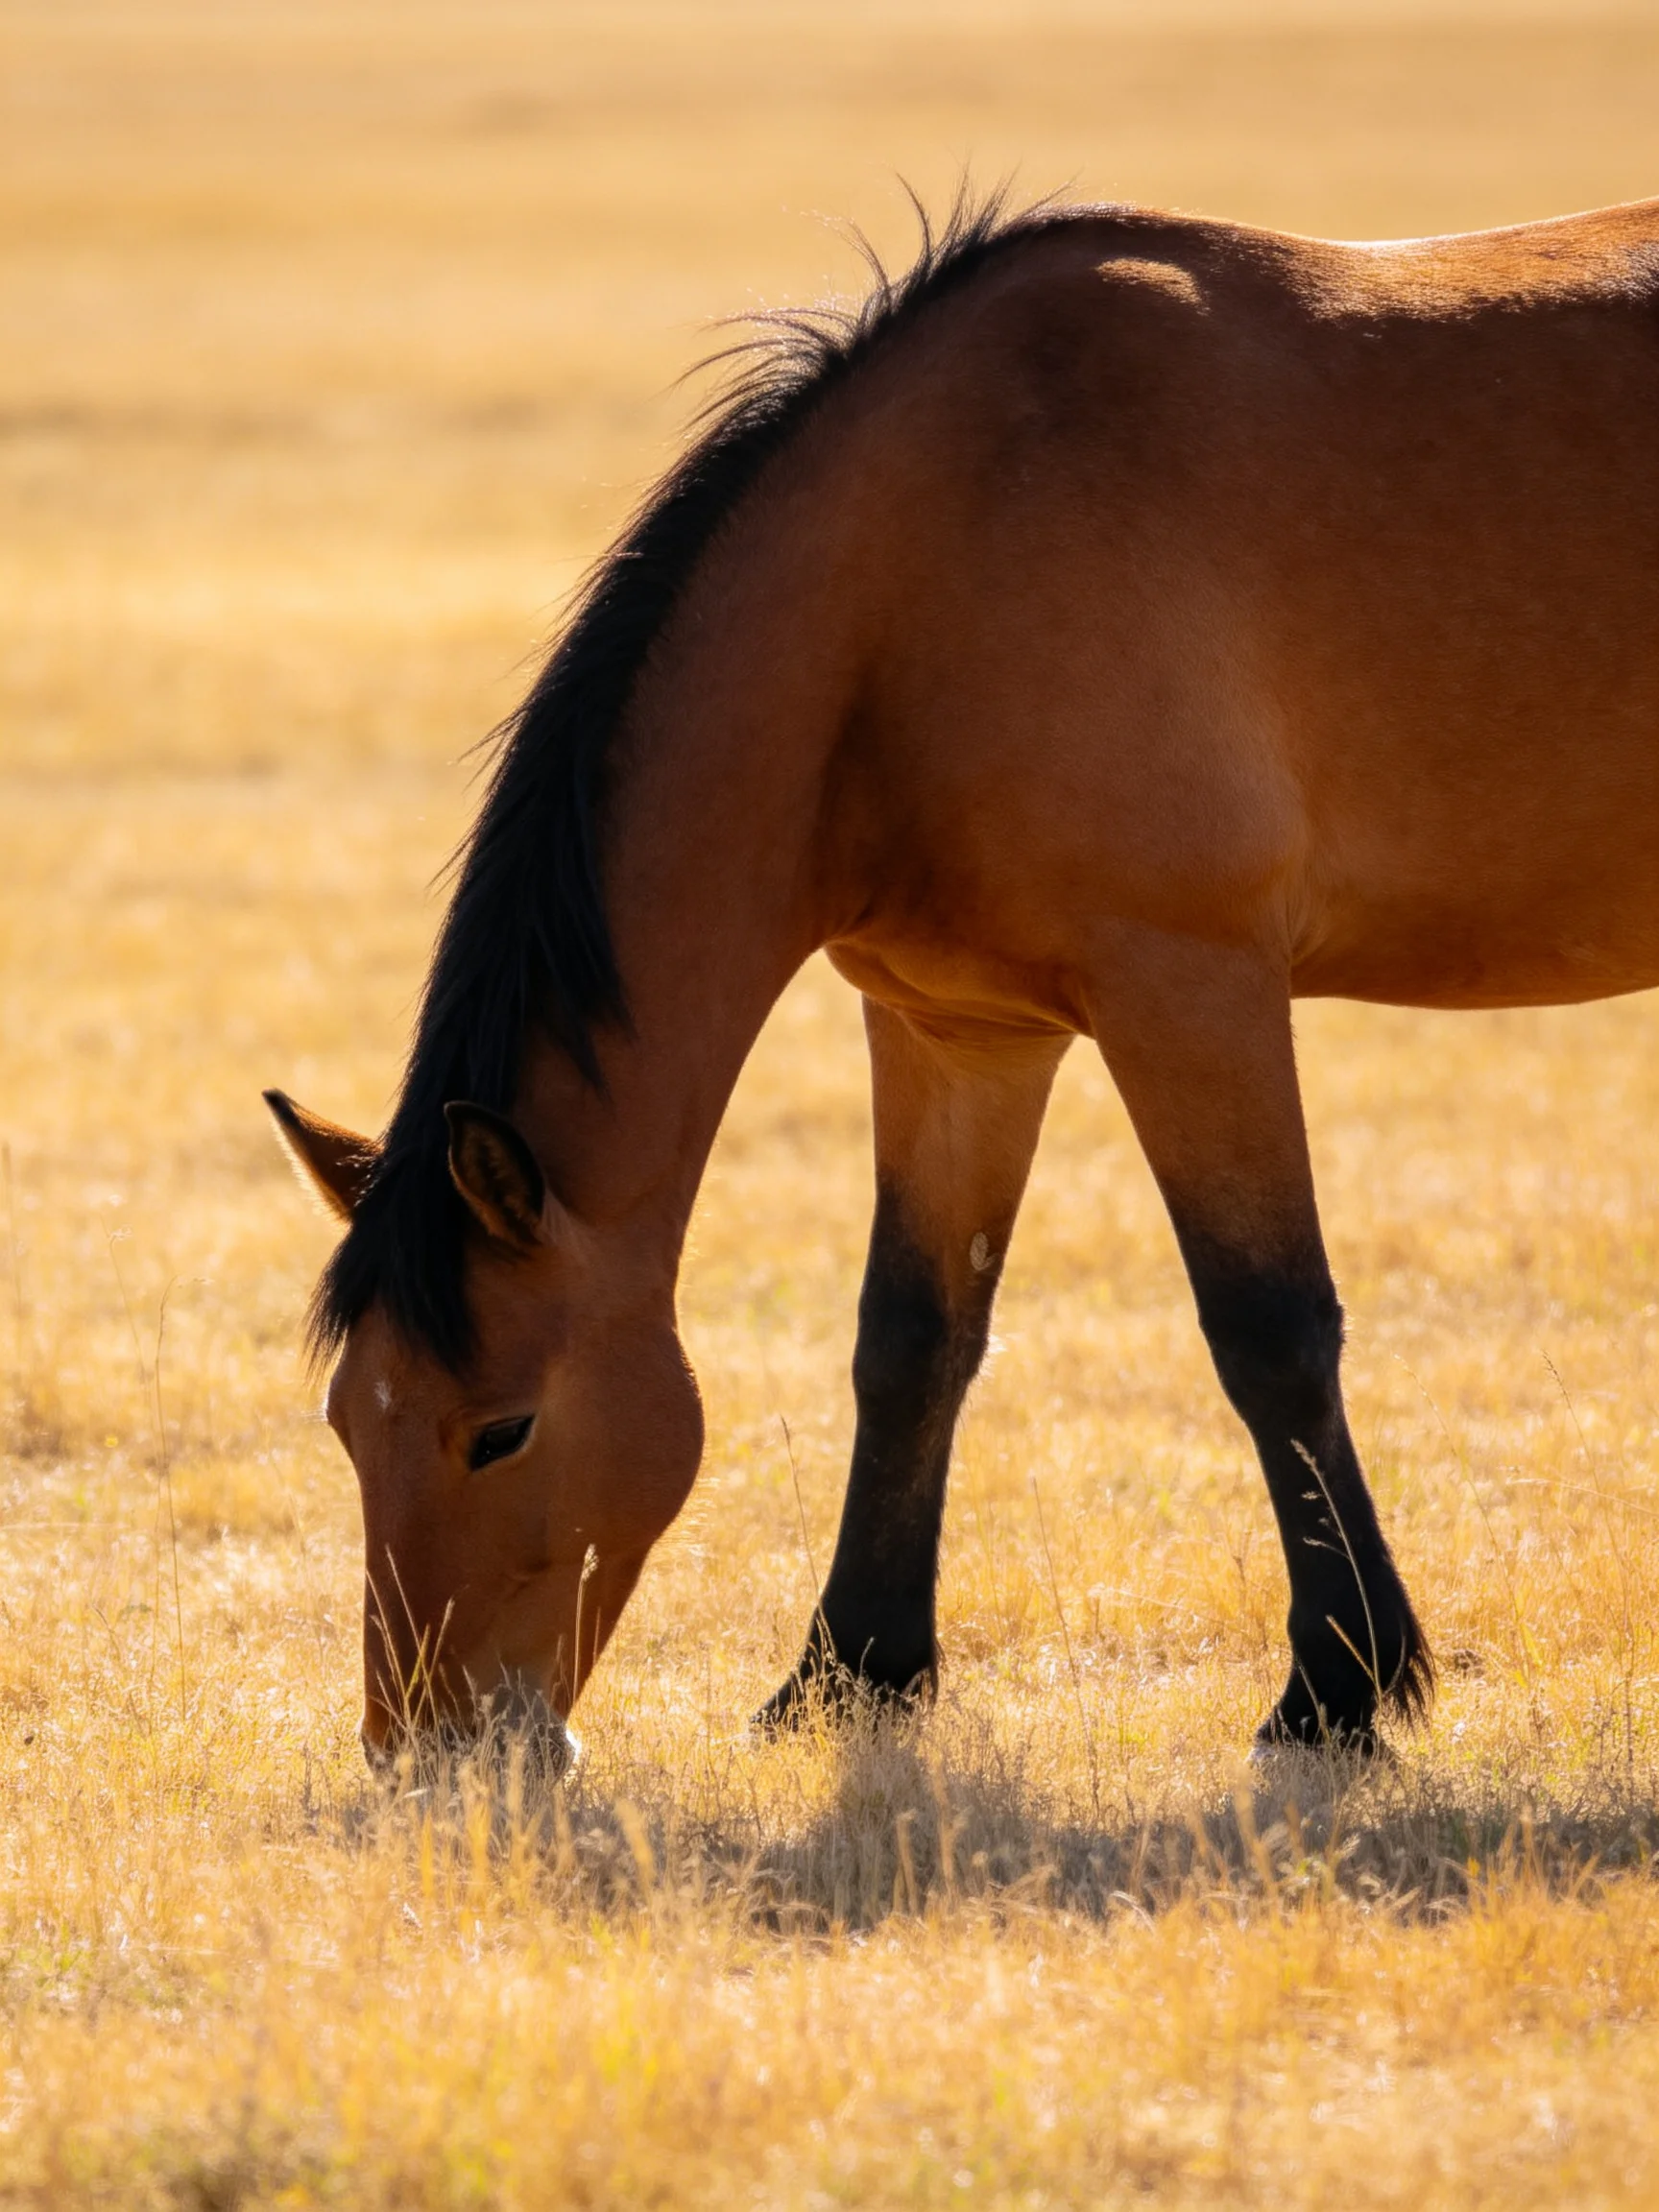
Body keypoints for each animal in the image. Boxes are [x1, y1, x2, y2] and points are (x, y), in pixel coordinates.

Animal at [268, 188, 1659, 1767]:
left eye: (497, 1428)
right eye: (346, 1423)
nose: (428, 1750)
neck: (936, 572)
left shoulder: (1192, 993)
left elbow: (1271, 1331)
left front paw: (1340, 1687)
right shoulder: (956, 1032)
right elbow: (912, 1339)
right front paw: (851, 1672)